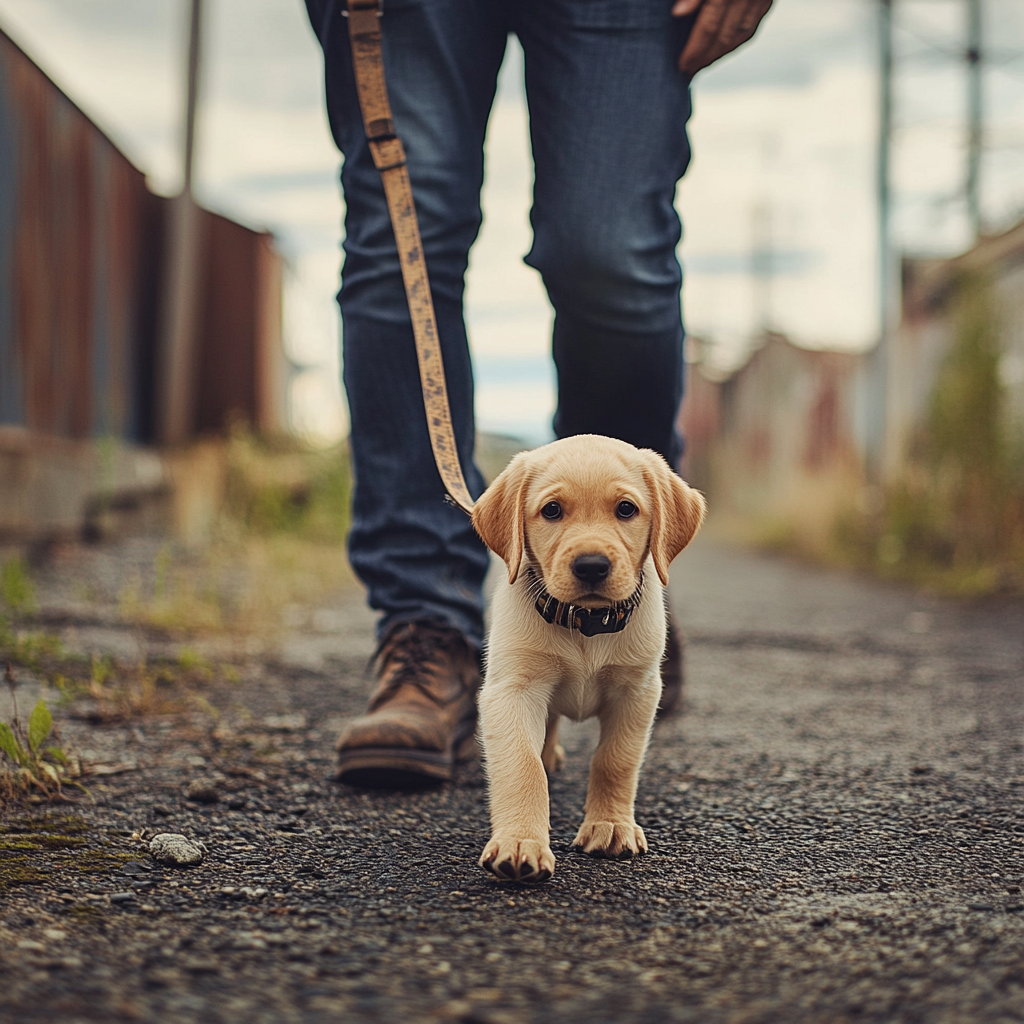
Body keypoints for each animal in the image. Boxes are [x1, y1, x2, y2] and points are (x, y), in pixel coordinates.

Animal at [471, 432, 704, 880]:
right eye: (552, 510)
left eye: (626, 509)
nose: (591, 565)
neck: (586, 624)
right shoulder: (512, 689)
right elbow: (523, 765)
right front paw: (520, 841)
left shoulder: (638, 690)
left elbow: (615, 759)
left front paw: (610, 826)